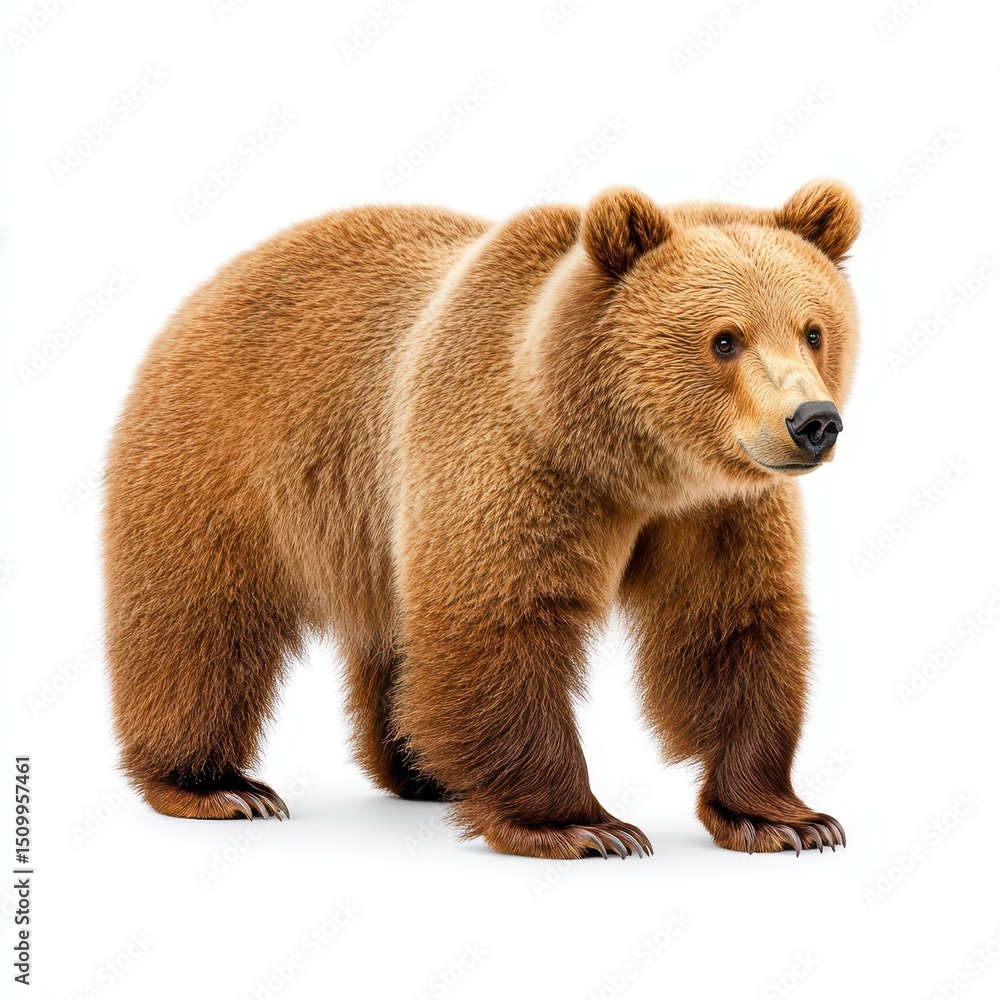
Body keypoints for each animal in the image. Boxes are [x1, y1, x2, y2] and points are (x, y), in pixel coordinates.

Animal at [102, 179, 860, 860]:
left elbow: (730, 626)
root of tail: (212, 281)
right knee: (199, 619)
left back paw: (419, 769)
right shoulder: (509, 456)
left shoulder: (719, 510)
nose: (813, 422)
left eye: (813, 330)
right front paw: (583, 827)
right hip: (224, 452)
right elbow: (501, 616)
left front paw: (785, 819)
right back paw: (216, 785)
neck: (633, 463)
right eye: (725, 339)